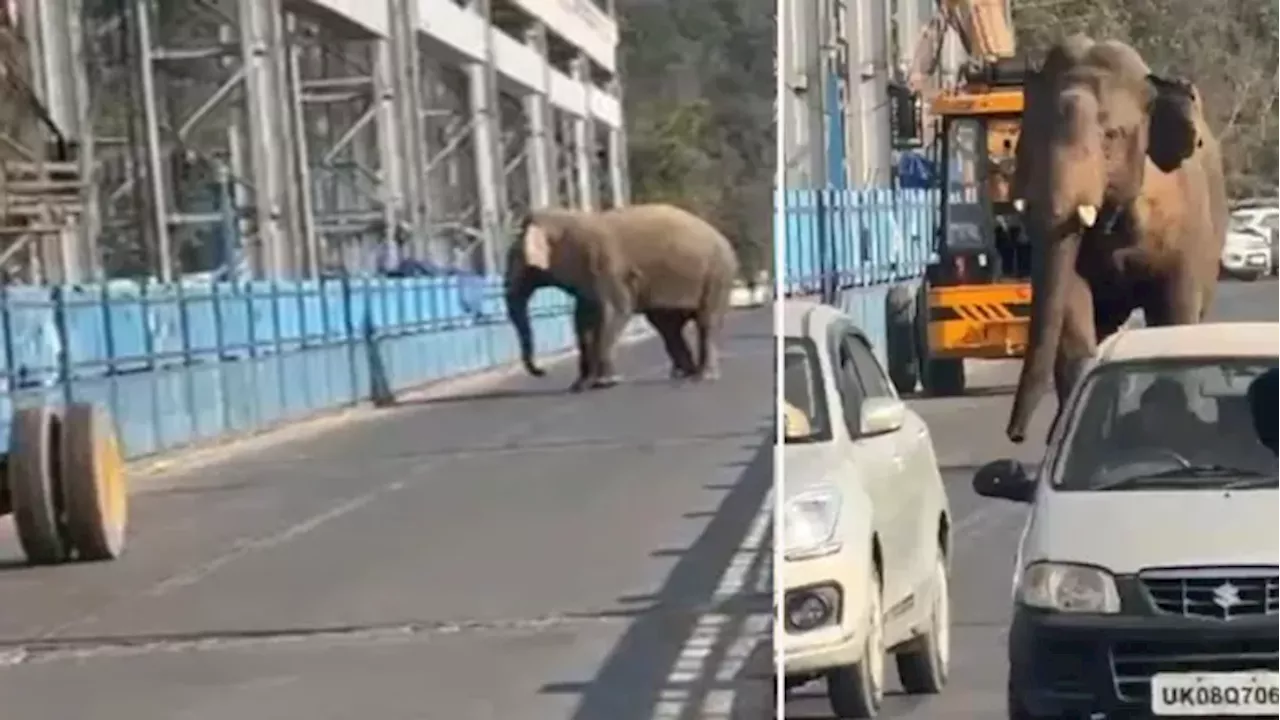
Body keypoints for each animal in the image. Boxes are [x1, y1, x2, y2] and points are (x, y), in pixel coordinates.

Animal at [501, 202, 742, 392]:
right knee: (667, 326)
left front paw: (606, 382)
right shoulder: (588, 279)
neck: (569, 219)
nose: (542, 371)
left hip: (717, 275)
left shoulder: (606, 267)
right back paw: (685, 374)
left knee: (705, 322)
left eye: (514, 258)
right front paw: (580, 386)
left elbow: (614, 312)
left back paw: (702, 377)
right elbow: (582, 320)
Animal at [1003, 39, 1223, 443]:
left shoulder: (1186, 228)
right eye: (1031, 137)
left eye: (1110, 136)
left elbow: (1175, 310)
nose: (1017, 436)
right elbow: (1073, 301)